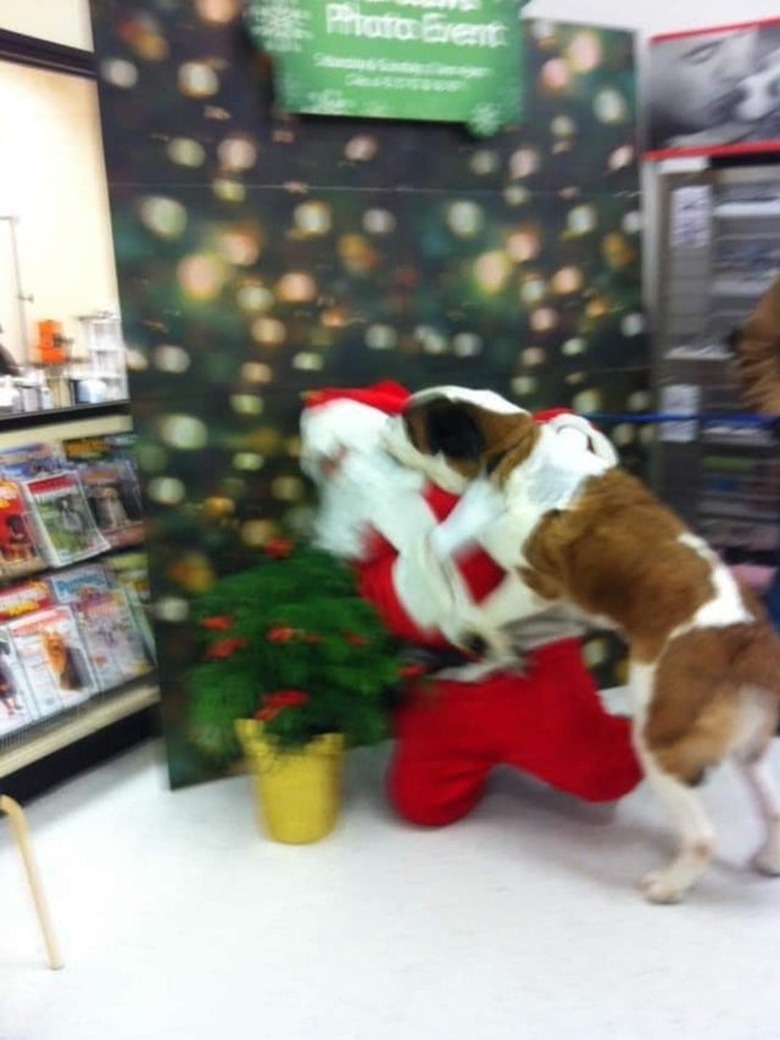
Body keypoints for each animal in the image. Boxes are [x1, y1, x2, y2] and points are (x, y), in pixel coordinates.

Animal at [386, 386, 780, 906]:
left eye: (409, 427)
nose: (386, 422)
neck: (512, 447)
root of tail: (749, 639)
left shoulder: (536, 585)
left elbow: (483, 611)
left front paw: (478, 636)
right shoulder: (563, 605)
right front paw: (488, 659)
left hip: (660, 736)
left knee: (701, 837)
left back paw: (669, 885)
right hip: (749, 745)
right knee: (770, 801)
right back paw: (770, 857)